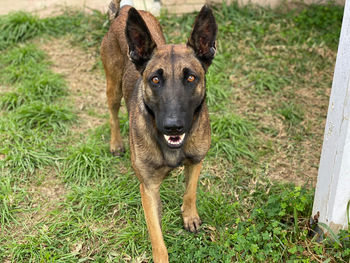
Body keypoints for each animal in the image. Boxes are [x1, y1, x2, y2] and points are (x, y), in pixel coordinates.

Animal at [100, 1, 217, 262]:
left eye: (191, 78)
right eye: (155, 80)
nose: (173, 126)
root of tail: (126, 9)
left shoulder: (197, 160)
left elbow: (190, 191)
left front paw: (189, 215)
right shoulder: (149, 189)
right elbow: (157, 239)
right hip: (113, 86)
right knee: (112, 112)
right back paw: (116, 143)